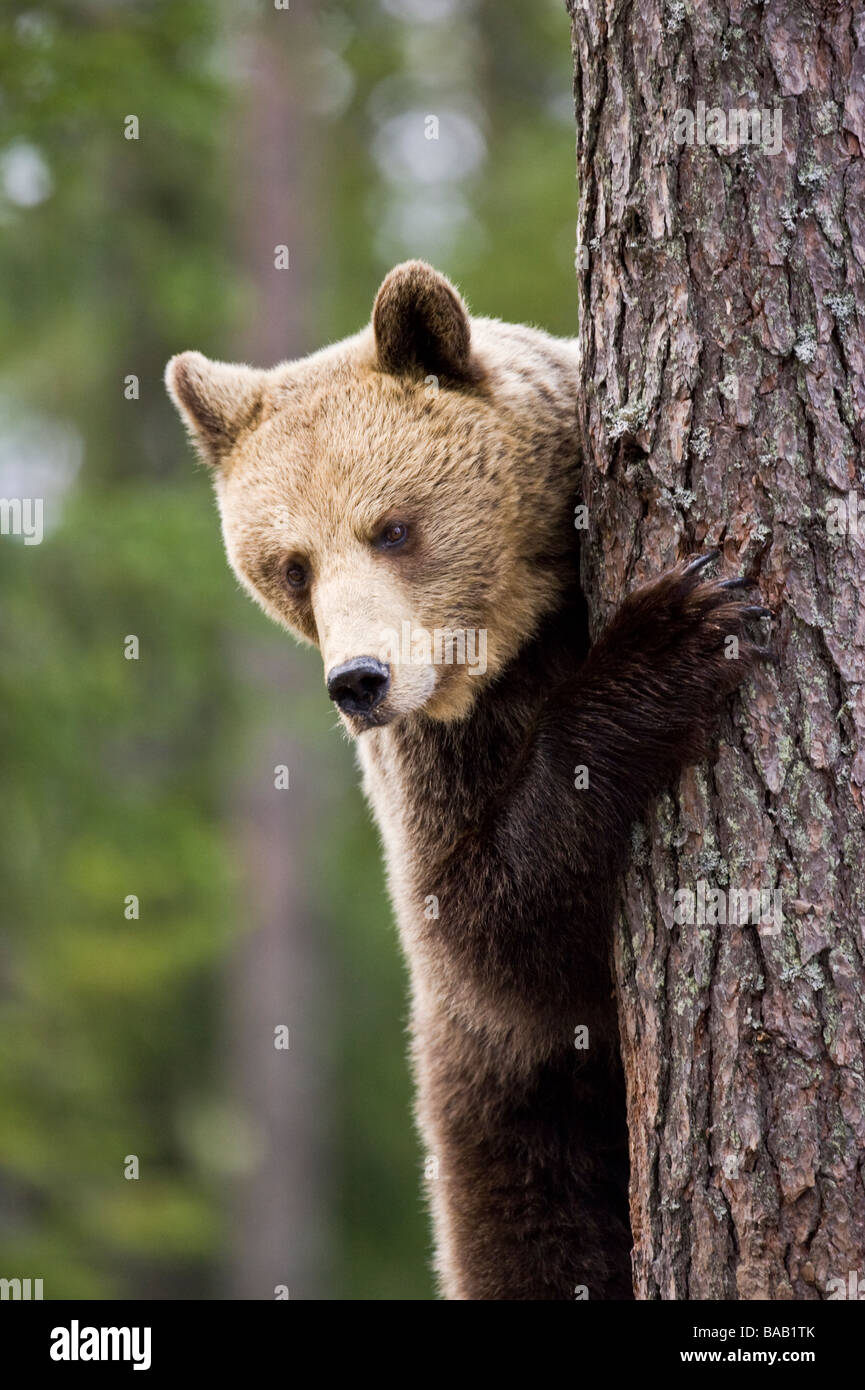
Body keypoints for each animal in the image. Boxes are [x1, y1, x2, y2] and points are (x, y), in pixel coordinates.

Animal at [165, 260, 768, 1300]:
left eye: (392, 528)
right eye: (292, 564)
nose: (359, 681)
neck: (520, 631)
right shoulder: (436, 764)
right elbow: (490, 928)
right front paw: (674, 634)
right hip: (507, 1124)